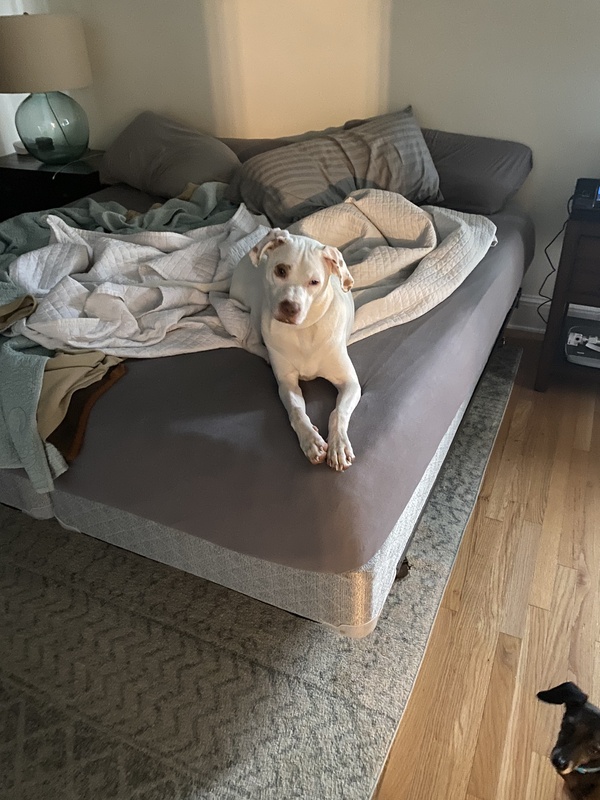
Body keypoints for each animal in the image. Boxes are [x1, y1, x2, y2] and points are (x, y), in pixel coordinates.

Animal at [231, 228, 360, 472]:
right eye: (281, 270)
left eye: (314, 282)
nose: (289, 308)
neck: (304, 331)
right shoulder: (287, 384)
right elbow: (297, 412)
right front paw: (311, 440)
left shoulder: (350, 383)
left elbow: (338, 413)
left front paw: (339, 446)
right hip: (258, 305)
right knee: (250, 342)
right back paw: (267, 354)